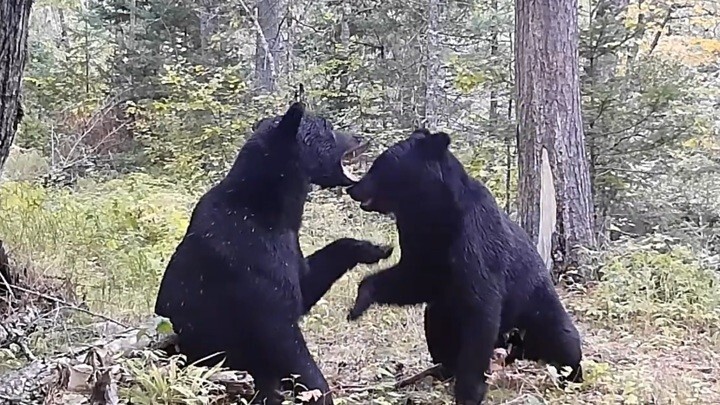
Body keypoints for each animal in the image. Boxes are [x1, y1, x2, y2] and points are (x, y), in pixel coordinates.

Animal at [153, 102, 394, 402]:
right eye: (326, 126)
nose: (360, 137)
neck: (269, 208)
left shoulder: (288, 247)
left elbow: (307, 283)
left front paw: (375, 248)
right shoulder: (251, 260)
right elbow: (283, 334)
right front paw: (320, 392)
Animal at [344, 129, 584, 404]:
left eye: (380, 164)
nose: (352, 188)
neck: (431, 214)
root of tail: (514, 352)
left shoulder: (474, 238)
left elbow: (480, 309)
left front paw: (468, 392)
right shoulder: (420, 243)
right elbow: (413, 279)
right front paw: (358, 305)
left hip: (538, 312)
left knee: (565, 341)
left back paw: (570, 374)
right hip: (444, 314)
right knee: (436, 326)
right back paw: (442, 368)